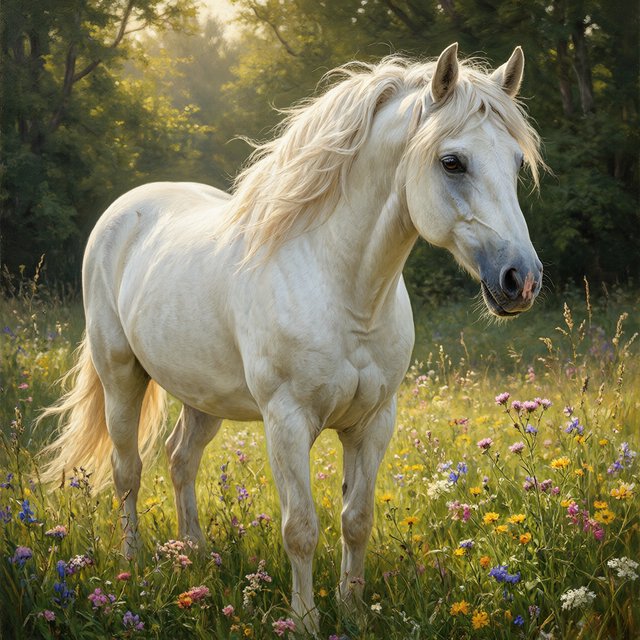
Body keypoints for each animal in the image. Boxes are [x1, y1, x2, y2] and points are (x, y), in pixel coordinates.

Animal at [39, 43, 544, 632]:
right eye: (452, 162)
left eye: (516, 163)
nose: (520, 279)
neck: (345, 291)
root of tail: (125, 211)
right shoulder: (287, 421)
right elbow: (300, 528)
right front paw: (304, 621)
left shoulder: (374, 422)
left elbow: (356, 519)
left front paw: (353, 612)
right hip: (120, 375)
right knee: (128, 472)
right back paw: (134, 565)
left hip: (201, 395)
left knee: (180, 460)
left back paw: (194, 555)